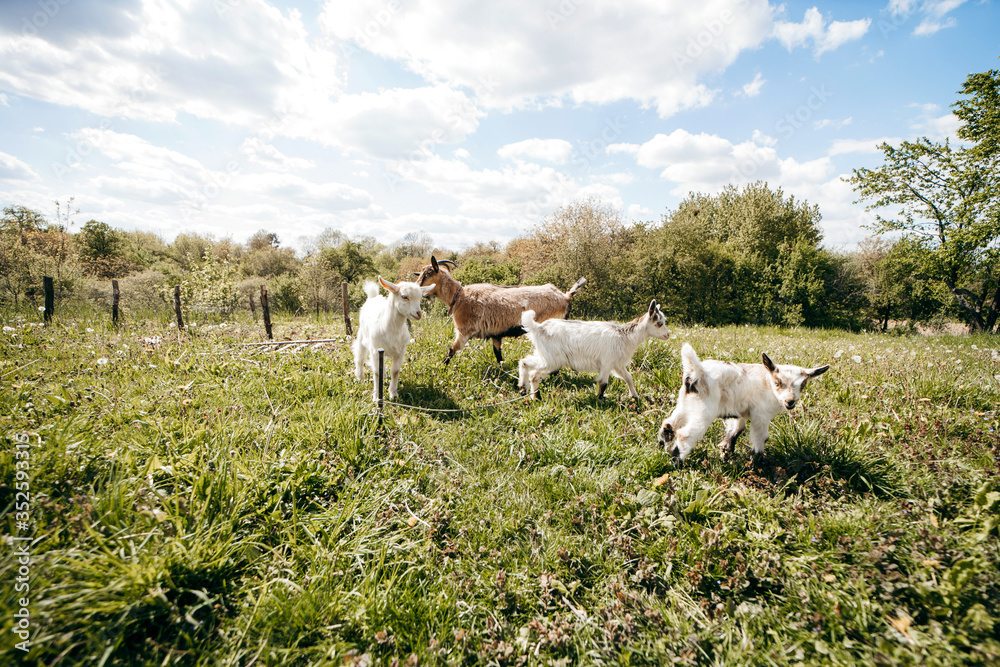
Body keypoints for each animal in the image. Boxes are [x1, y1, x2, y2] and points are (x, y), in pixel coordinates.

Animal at [415, 255, 586, 364]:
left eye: (427, 274)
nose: (415, 288)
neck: (458, 296)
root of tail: (565, 297)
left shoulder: (464, 332)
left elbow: (450, 351)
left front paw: (439, 368)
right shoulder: (496, 334)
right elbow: (499, 357)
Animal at [518, 300, 671, 403]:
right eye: (659, 323)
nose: (668, 335)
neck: (625, 336)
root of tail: (538, 327)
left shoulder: (617, 364)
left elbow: (628, 377)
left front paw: (635, 396)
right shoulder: (607, 362)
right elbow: (603, 383)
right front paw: (600, 400)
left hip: (545, 356)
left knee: (529, 368)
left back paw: (529, 393)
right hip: (551, 360)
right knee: (530, 369)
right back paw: (530, 392)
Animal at [658, 343, 829, 464]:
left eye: (803, 385)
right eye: (777, 382)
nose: (790, 402)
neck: (767, 383)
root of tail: (697, 372)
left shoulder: (739, 412)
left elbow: (737, 428)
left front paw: (726, 449)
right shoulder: (760, 415)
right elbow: (761, 438)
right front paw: (758, 461)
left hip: (685, 403)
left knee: (669, 424)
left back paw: (663, 447)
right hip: (704, 411)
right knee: (685, 434)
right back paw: (677, 461)